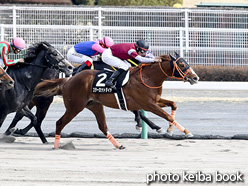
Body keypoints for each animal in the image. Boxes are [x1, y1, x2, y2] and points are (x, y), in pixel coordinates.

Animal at [34, 53, 200, 149]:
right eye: (182, 64)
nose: (195, 77)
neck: (148, 78)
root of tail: (68, 80)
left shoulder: (155, 101)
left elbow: (173, 105)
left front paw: (170, 130)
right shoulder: (148, 104)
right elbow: (167, 116)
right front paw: (186, 132)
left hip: (94, 106)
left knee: (103, 126)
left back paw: (118, 145)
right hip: (75, 107)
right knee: (59, 123)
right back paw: (56, 146)